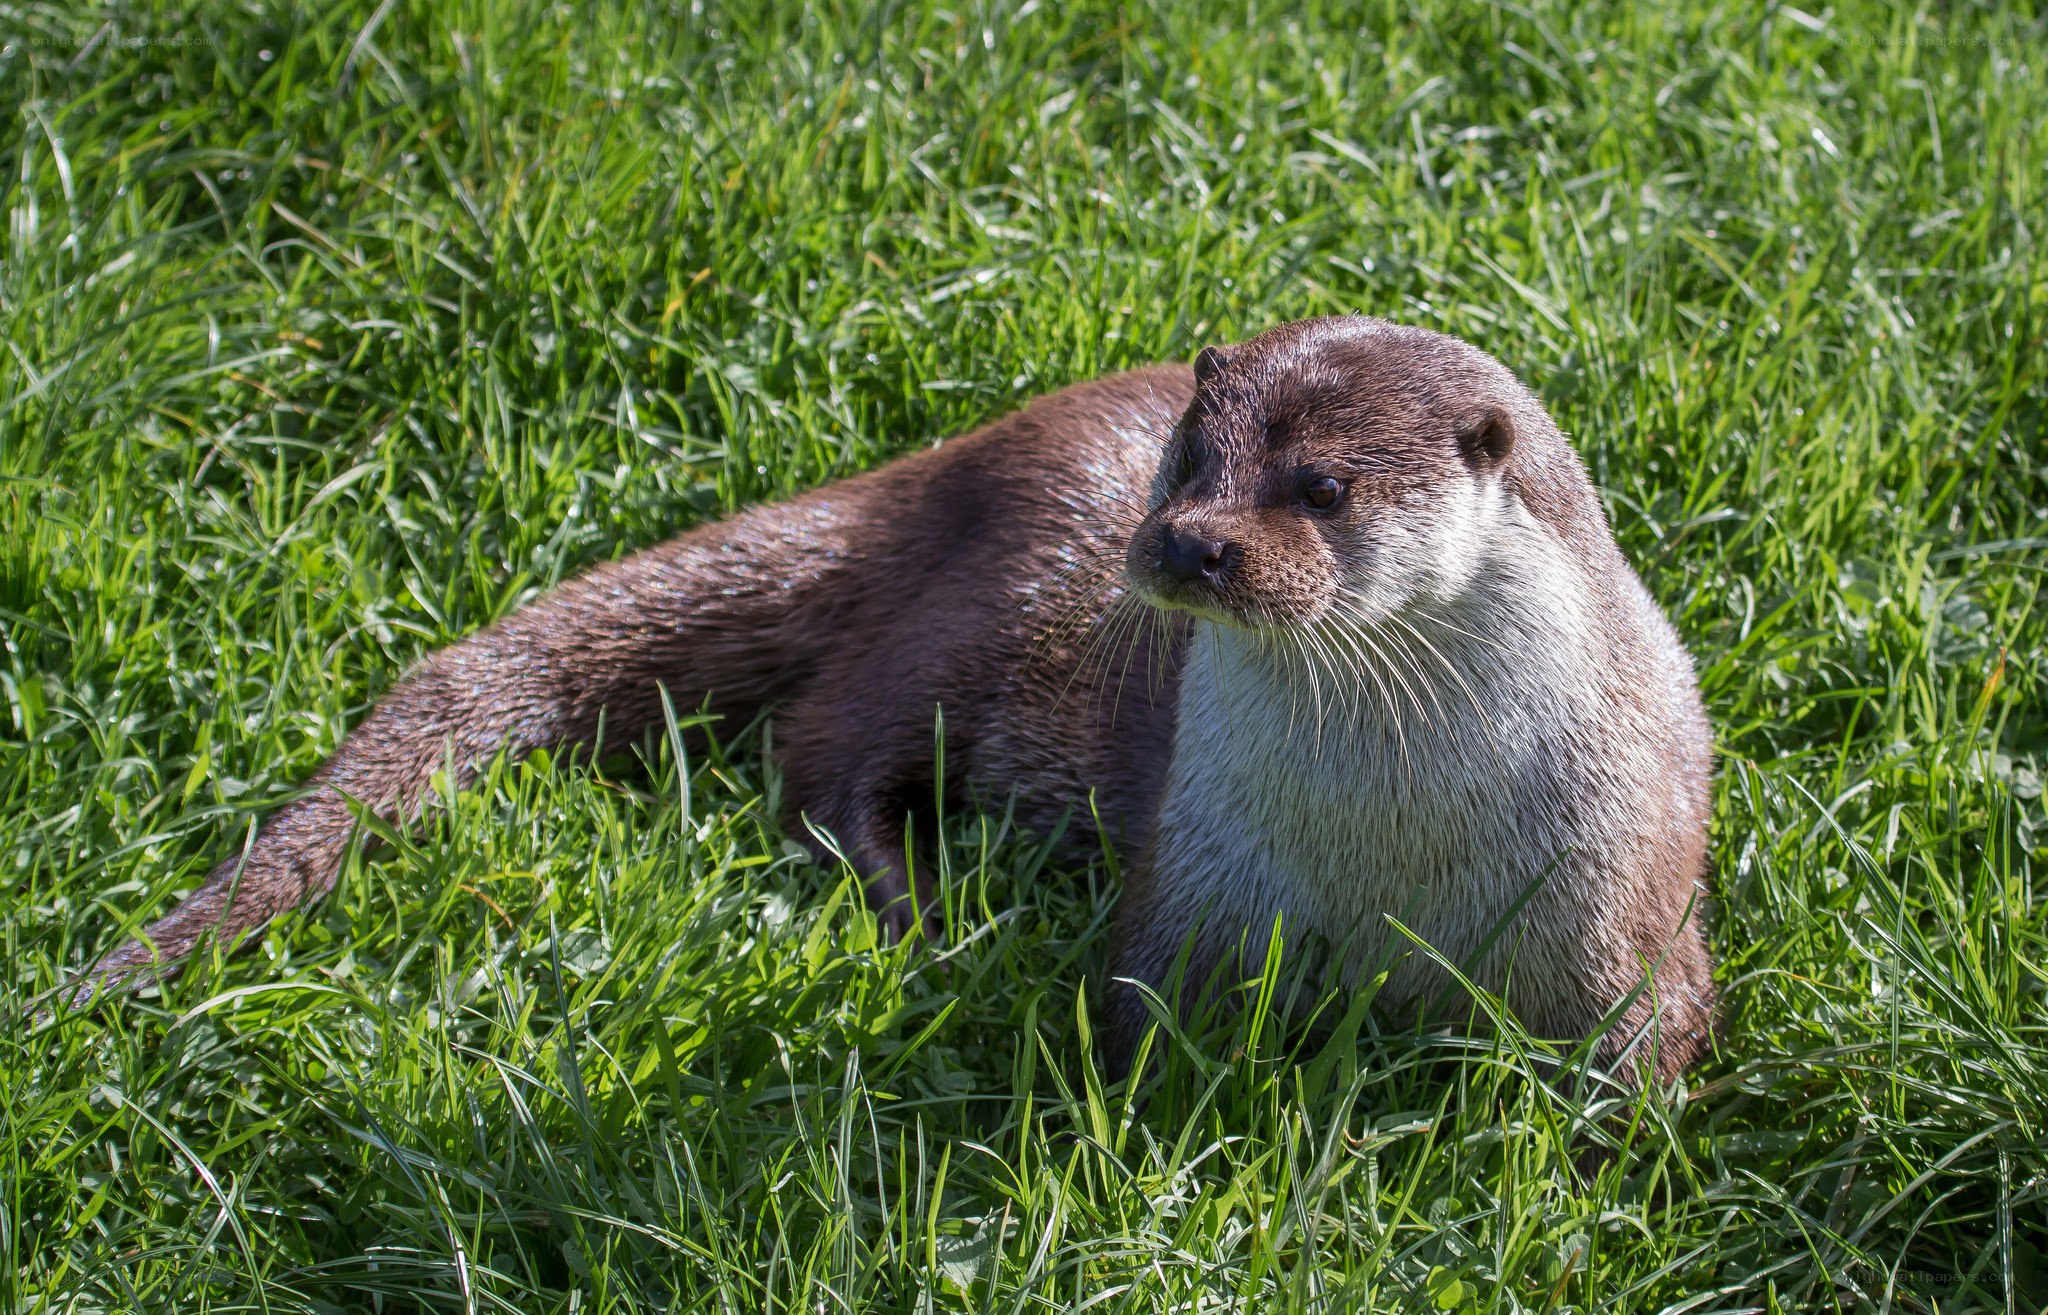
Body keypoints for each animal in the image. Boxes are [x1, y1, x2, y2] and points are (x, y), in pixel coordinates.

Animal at [65, 316, 1717, 1082]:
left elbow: (1644, 1060)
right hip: (976, 618)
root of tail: (954, 460)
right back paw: (916, 904)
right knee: (822, 754)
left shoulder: (1623, 911)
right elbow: (1135, 1016)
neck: (1395, 857)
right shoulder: (1196, 885)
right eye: (1195, 456)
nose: (1189, 540)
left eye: (1321, 487)